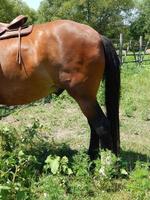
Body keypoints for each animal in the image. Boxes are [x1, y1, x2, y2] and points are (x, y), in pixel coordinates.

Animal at [0, 19, 120, 159]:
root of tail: (98, 36)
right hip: (88, 100)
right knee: (93, 126)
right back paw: (91, 158)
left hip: (84, 97)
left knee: (102, 126)